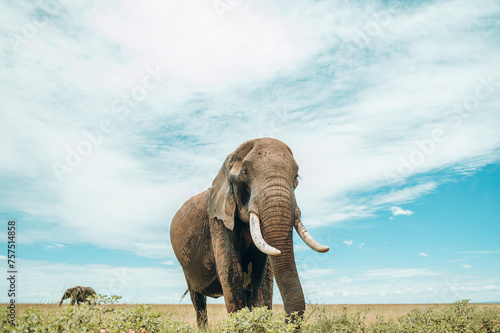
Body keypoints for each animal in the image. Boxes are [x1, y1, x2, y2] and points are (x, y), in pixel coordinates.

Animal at [170, 137, 330, 326]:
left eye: (296, 177)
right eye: (245, 172)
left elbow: (261, 275)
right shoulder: (217, 219)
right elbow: (232, 272)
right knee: (199, 302)